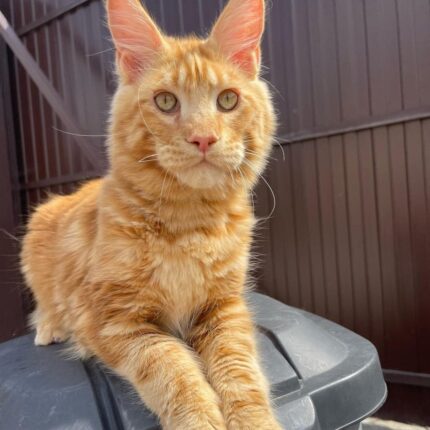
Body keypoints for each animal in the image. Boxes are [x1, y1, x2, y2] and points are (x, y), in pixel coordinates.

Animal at [21, 0, 280, 428]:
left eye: (227, 100)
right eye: (166, 102)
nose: (203, 138)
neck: (188, 225)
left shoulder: (224, 309)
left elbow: (241, 372)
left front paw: (254, 420)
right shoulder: (115, 321)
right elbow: (172, 369)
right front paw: (200, 419)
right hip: (37, 231)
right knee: (43, 301)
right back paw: (49, 326)